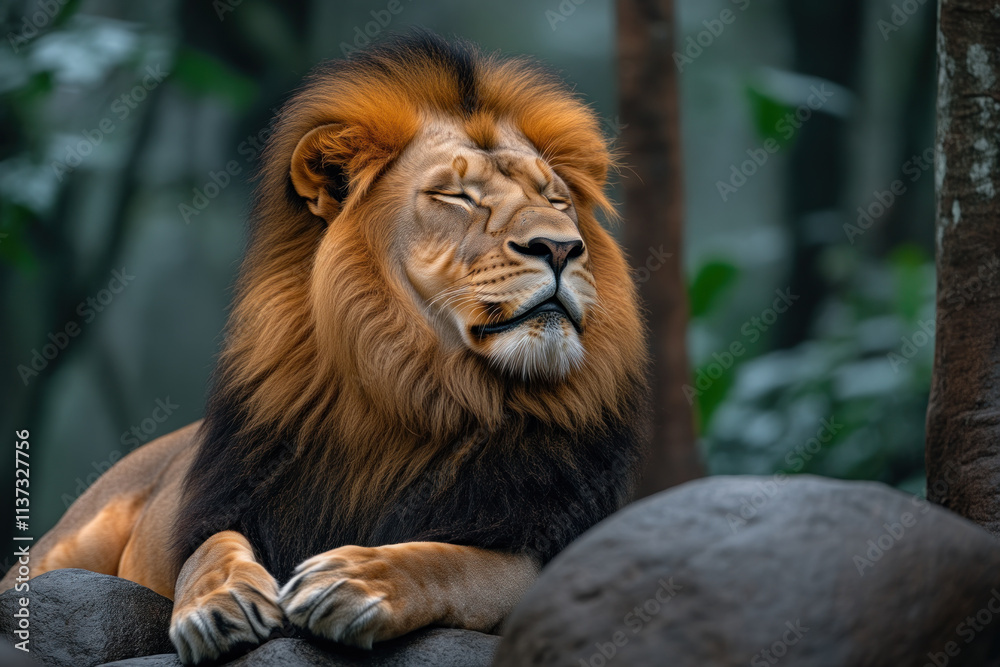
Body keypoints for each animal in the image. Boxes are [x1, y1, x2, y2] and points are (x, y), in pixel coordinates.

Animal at [2, 32, 649, 663]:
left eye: (558, 201)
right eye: (457, 197)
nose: (561, 246)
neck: (422, 389)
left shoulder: (552, 543)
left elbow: (455, 560)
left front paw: (356, 582)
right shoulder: (235, 501)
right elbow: (208, 548)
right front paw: (219, 603)